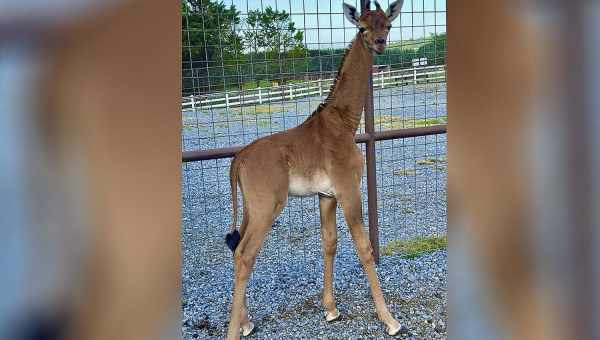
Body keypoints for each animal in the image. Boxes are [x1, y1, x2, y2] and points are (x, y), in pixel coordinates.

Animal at [224, 1, 404, 338]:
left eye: (387, 24)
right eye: (362, 27)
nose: (379, 43)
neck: (344, 124)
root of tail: (238, 159)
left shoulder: (326, 195)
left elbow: (329, 242)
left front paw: (331, 309)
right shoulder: (348, 189)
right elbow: (364, 247)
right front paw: (389, 320)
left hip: (251, 207)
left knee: (236, 246)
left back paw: (246, 322)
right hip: (267, 206)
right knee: (244, 254)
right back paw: (234, 329)